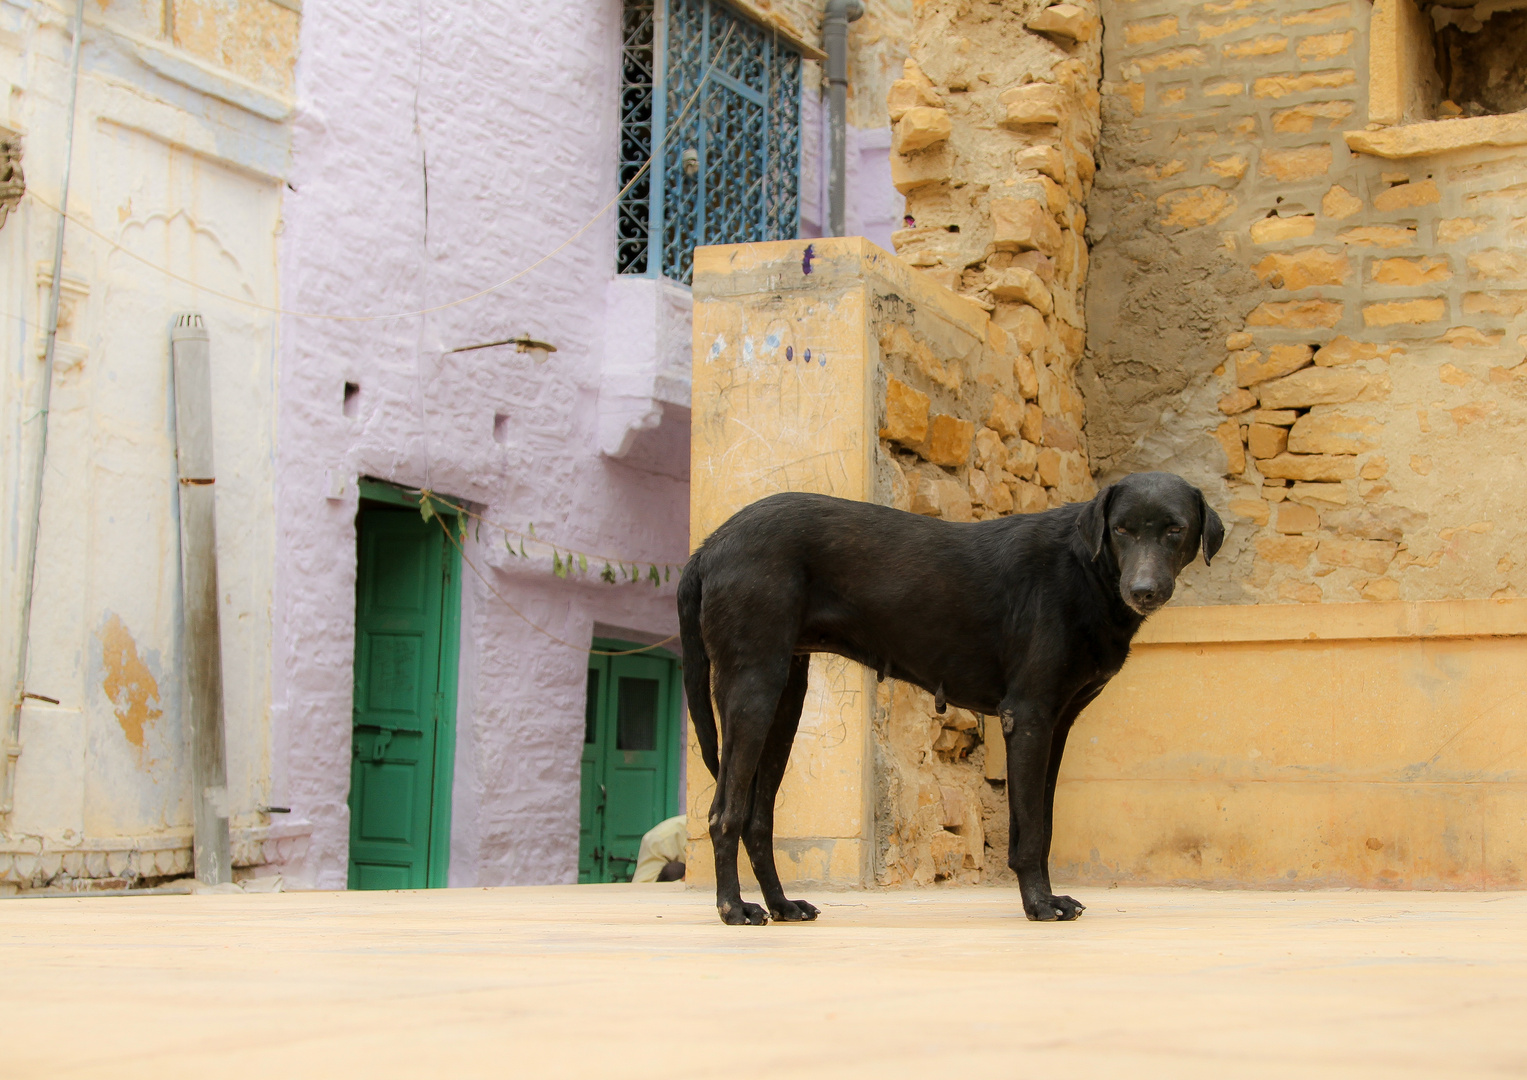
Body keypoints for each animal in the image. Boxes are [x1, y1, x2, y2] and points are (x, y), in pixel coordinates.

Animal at [681, 473, 1227, 928]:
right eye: (1121, 530)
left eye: (1175, 530)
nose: (1144, 590)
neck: (1086, 570)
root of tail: (711, 544)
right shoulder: (1028, 716)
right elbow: (1030, 832)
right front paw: (1038, 905)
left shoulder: (1057, 725)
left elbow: (1043, 824)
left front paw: (1046, 897)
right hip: (752, 687)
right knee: (724, 813)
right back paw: (733, 907)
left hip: (785, 701)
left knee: (757, 818)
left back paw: (781, 905)